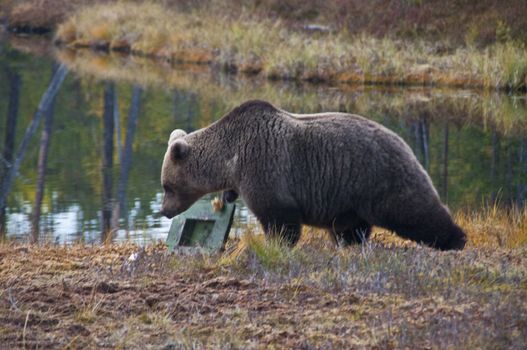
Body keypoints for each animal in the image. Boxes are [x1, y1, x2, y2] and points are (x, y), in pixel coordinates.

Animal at [160, 100, 466, 250]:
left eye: (167, 186)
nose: (164, 211)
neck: (230, 158)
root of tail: (403, 142)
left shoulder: (264, 167)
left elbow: (279, 217)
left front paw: (275, 244)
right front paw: (226, 197)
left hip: (378, 177)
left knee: (413, 210)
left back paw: (455, 240)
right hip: (349, 199)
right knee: (350, 227)